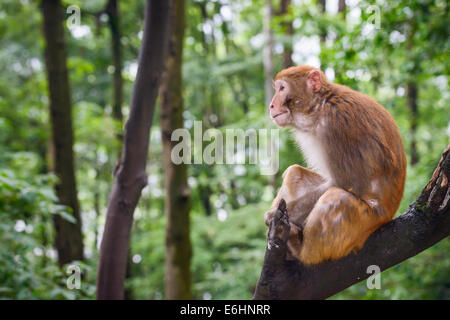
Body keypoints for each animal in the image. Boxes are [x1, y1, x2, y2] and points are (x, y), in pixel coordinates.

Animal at [264, 65, 408, 264]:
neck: (319, 107)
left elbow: (344, 183)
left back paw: (301, 250)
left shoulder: (337, 124)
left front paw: (270, 217)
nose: (271, 105)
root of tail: (388, 217)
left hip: (364, 224)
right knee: (295, 172)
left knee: (337, 197)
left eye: (282, 88)